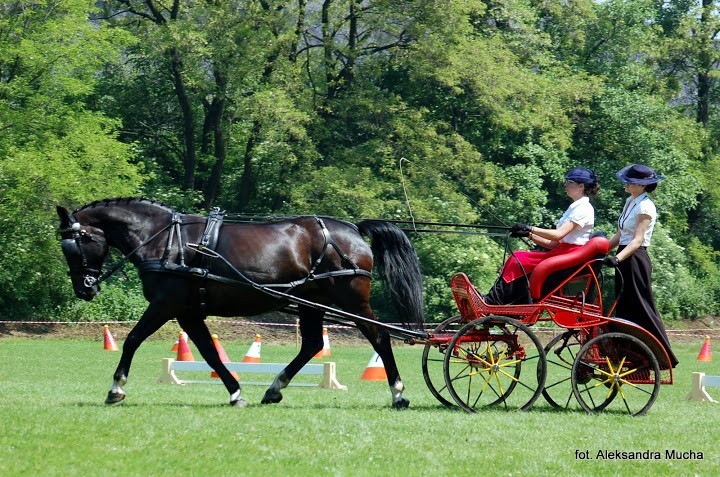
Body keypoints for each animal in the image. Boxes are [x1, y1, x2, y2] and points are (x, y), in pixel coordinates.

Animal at [60, 197, 428, 406]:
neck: (164, 240)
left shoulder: (167, 305)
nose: (84, 289)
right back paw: (274, 389)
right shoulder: (188, 312)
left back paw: (398, 393)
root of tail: (352, 228)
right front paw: (235, 392)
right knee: (311, 344)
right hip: (311, 303)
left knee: (380, 337)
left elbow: (133, 339)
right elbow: (209, 352)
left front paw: (116, 388)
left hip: (351, 301)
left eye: (76, 243)